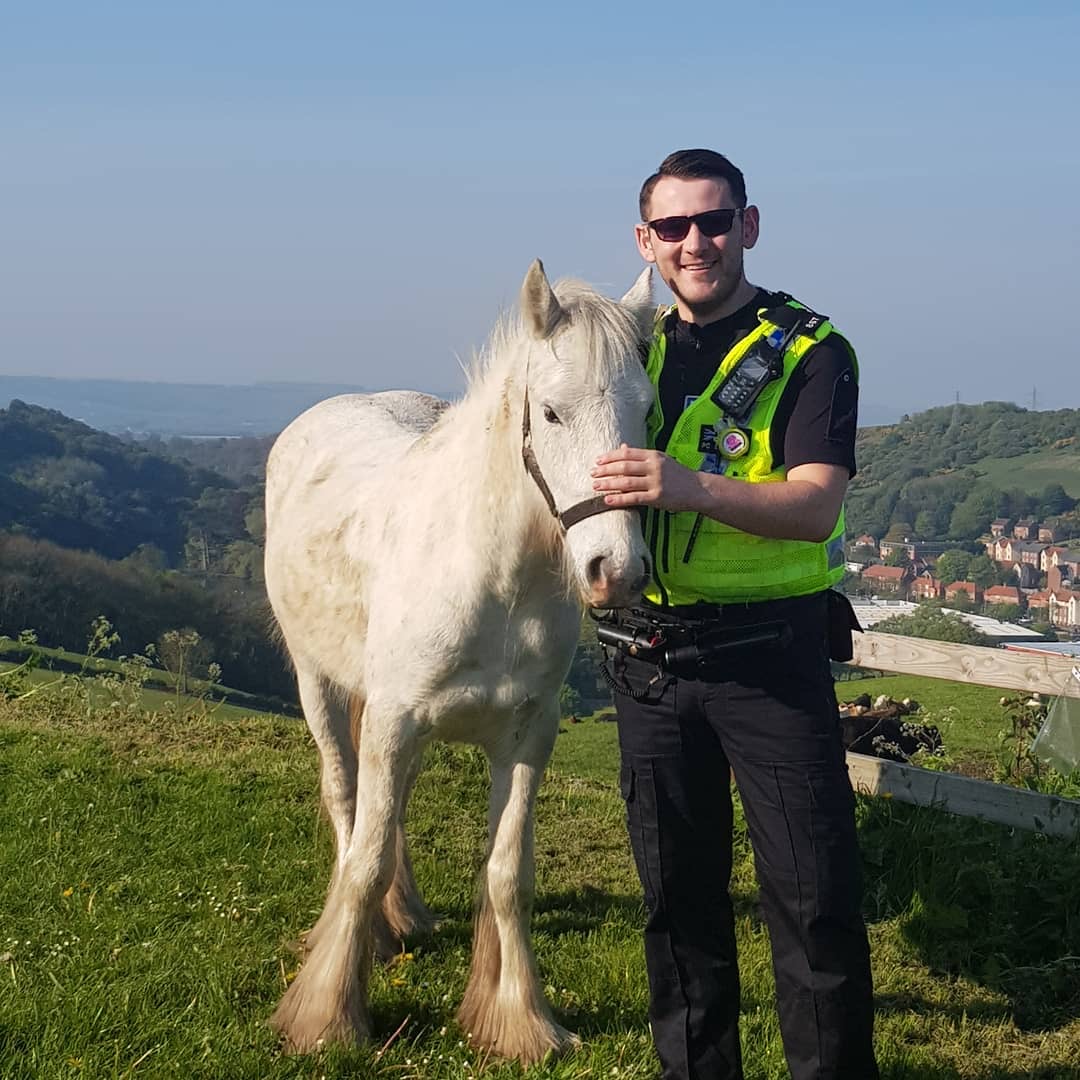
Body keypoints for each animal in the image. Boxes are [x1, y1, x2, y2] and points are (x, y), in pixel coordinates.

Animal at [262, 259, 655, 1064]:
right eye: (554, 413)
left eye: (647, 412)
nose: (617, 571)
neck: (492, 577)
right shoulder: (394, 723)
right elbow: (365, 857)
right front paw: (325, 1016)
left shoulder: (528, 736)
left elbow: (507, 875)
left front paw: (517, 1021)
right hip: (319, 683)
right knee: (345, 799)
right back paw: (371, 933)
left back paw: (405, 916)